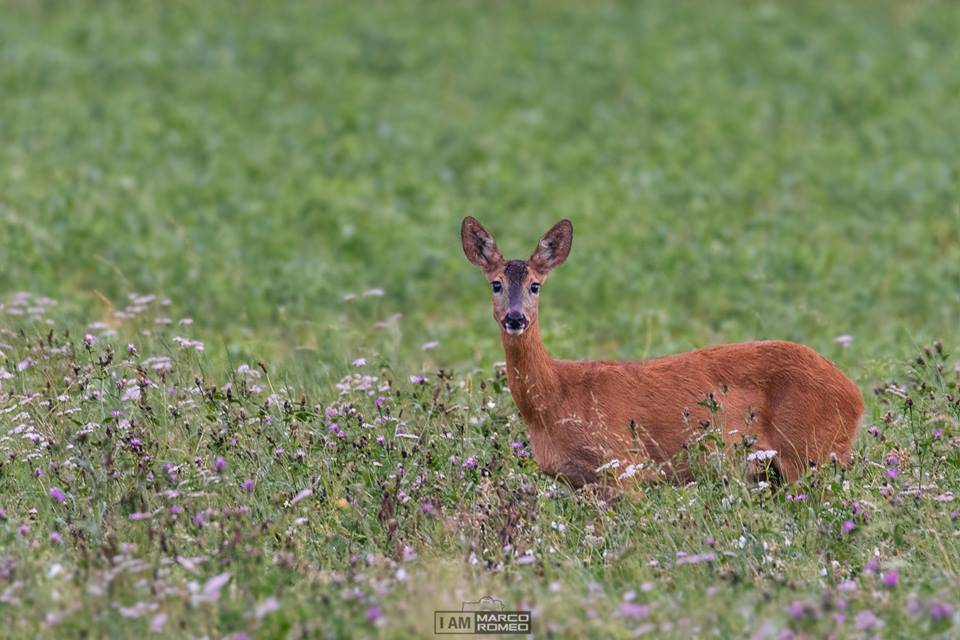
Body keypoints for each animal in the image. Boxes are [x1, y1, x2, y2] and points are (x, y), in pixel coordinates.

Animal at [458, 218, 864, 488]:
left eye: (535, 286)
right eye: (496, 284)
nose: (515, 318)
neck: (555, 400)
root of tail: (855, 395)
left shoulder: (622, 464)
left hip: (810, 451)